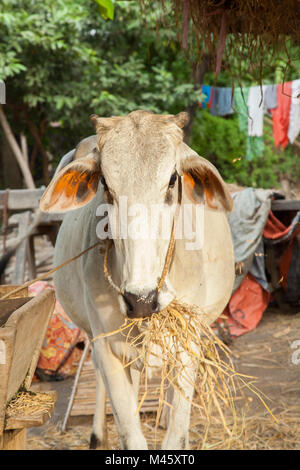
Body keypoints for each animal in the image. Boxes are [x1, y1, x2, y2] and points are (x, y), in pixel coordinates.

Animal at [39, 109, 234, 448]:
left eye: (173, 179)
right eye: (105, 183)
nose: (140, 299)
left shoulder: (188, 346)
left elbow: (175, 433)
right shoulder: (108, 347)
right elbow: (130, 433)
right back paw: (97, 435)